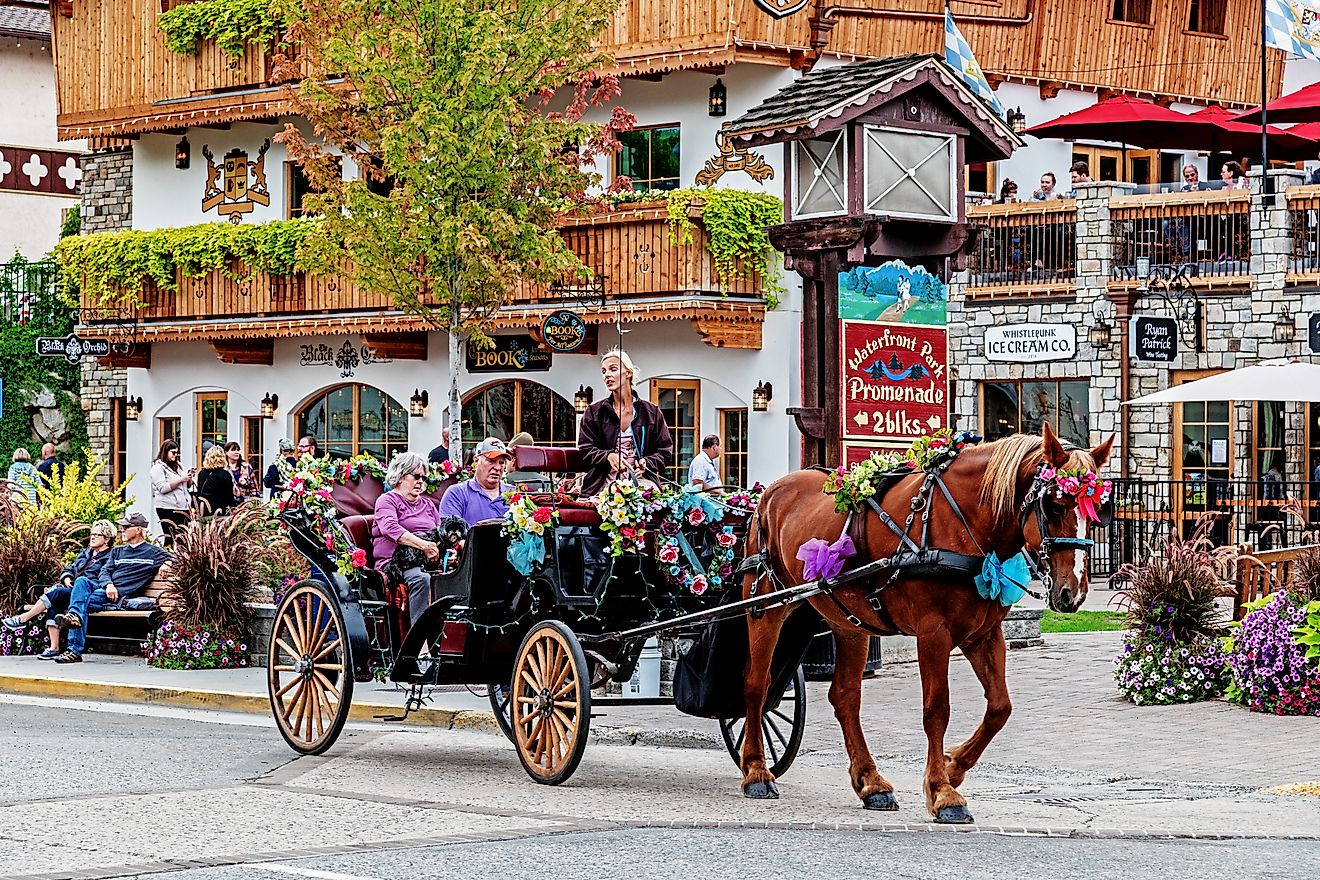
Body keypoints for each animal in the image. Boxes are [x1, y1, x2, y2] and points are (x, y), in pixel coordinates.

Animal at [739, 422, 1108, 823]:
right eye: (1054, 503)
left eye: (1097, 509)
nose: (1073, 592)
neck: (963, 521)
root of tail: (768, 493)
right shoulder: (933, 632)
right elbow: (937, 710)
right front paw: (943, 792)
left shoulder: (984, 634)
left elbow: (1000, 707)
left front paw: (953, 766)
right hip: (764, 606)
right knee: (757, 685)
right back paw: (756, 770)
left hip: (849, 622)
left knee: (845, 697)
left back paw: (871, 782)